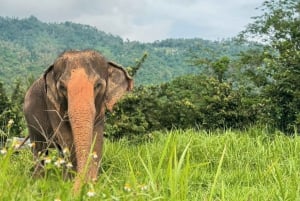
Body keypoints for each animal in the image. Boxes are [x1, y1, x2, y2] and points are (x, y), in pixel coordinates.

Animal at [24, 49, 134, 191]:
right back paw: (38, 181)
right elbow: (67, 138)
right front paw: (71, 183)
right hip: (30, 120)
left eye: (98, 85)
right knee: (39, 148)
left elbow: (97, 140)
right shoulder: (52, 104)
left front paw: (91, 184)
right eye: (62, 87)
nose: (81, 186)